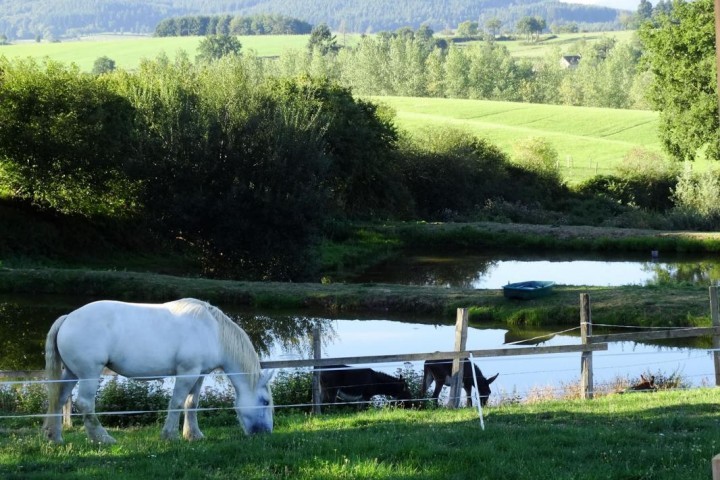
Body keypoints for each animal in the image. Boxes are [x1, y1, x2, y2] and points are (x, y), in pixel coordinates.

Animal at [42, 298, 274, 444]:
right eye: (265, 402)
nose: (265, 433)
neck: (213, 331)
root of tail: (68, 318)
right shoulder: (187, 372)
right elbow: (177, 402)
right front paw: (169, 436)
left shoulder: (199, 374)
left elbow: (192, 403)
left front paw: (193, 435)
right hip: (89, 373)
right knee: (85, 404)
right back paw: (102, 438)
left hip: (72, 373)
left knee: (59, 398)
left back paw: (55, 437)